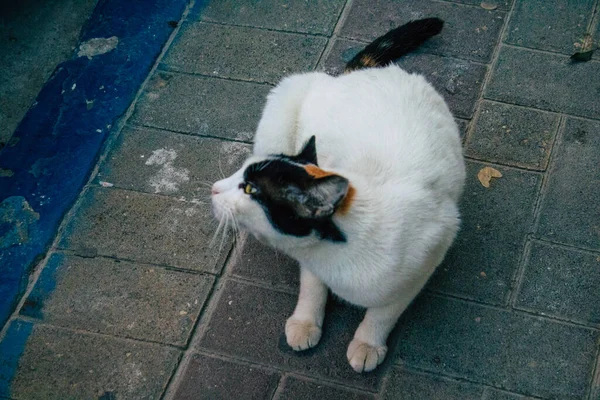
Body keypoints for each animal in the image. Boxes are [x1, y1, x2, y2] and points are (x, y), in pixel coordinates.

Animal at [213, 17, 466, 374]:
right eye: (240, 177)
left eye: (250, 189)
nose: (214, 187)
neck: (336, 258)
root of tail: (363, 74)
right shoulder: (312, 263)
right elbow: (311, 285)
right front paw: (306, 322)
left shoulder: (430, 253)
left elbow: (385, 310)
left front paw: (368, 342)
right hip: (283, 107)